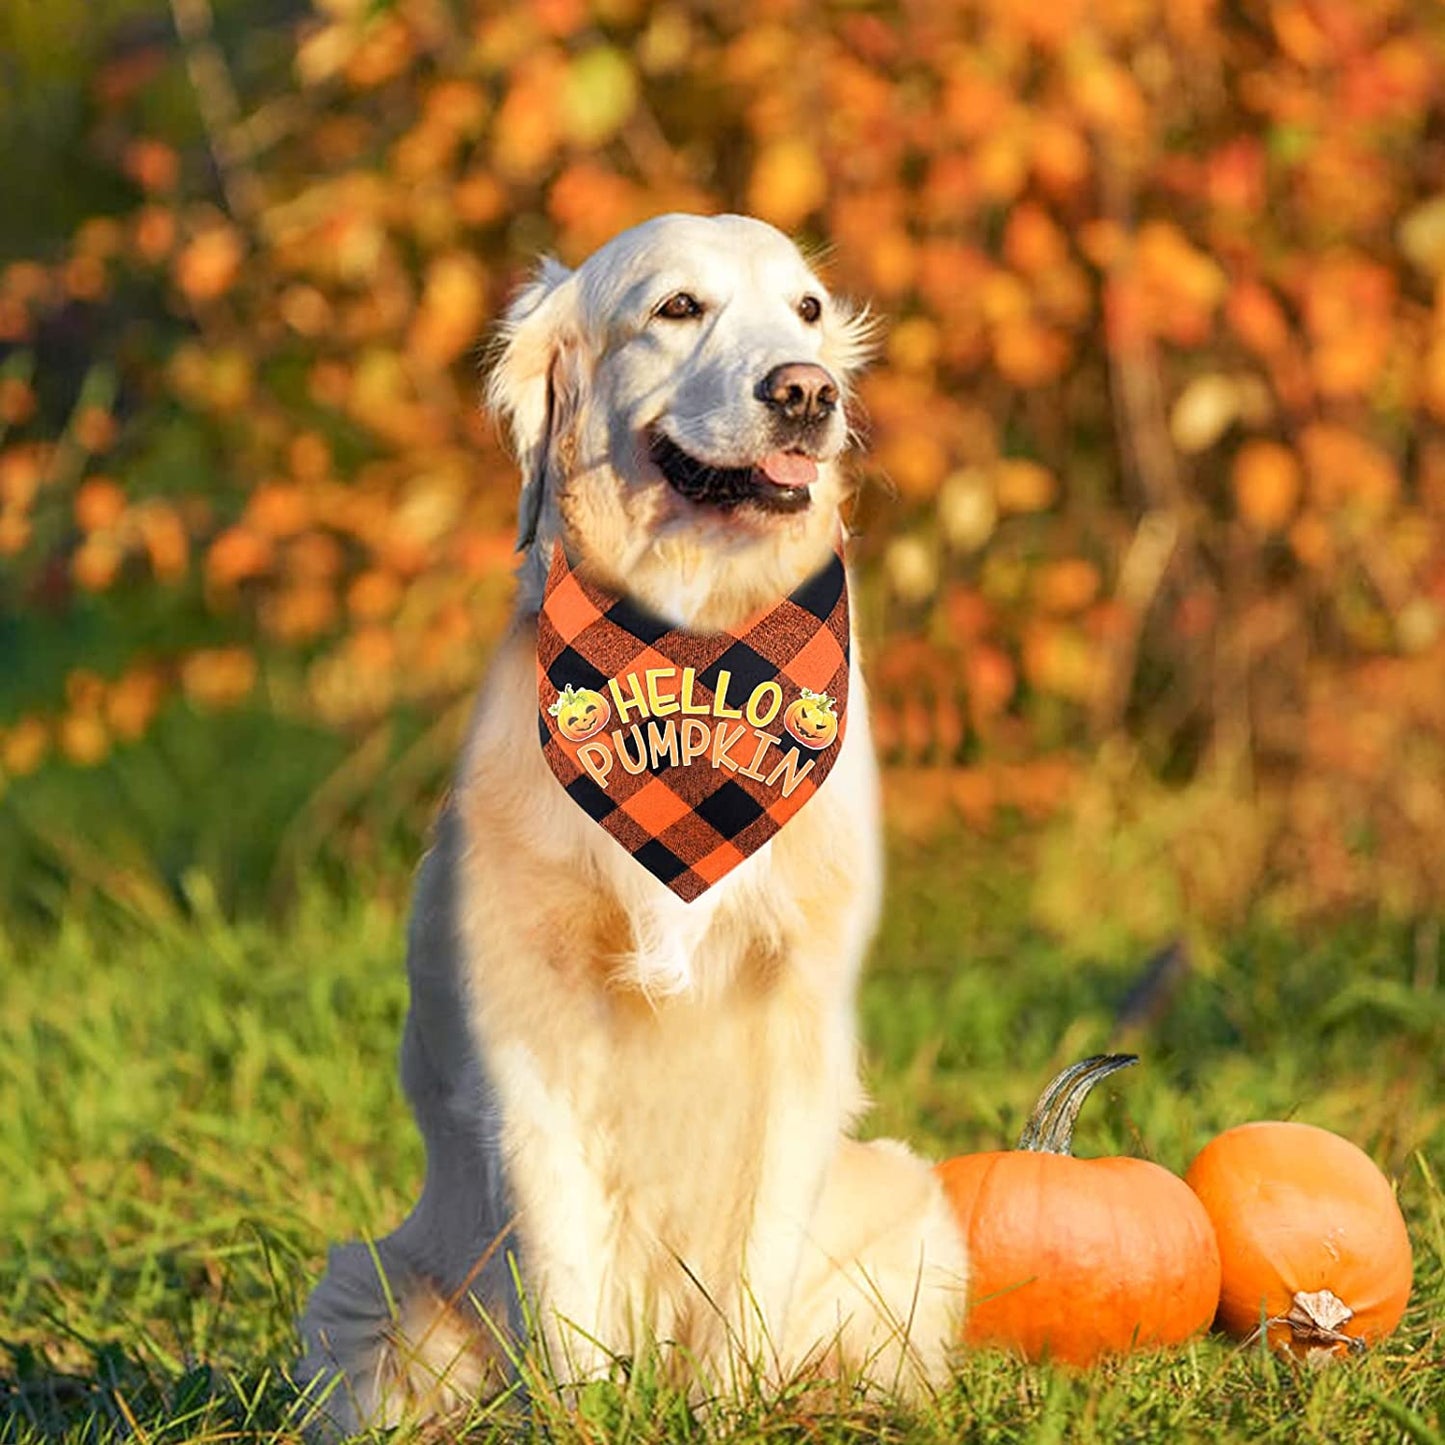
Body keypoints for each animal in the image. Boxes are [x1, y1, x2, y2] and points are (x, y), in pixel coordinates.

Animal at [297, 209, 965, 1427]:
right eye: (676, 308)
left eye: (805, 310)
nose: (804, 391)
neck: (693, 654)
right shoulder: (529, 1025)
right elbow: (567, 1272)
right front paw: (588, 1410)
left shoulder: (797, 1017)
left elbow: (749, 1263)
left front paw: (726, 1405)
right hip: (368, 1290)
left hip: (912, 1210)